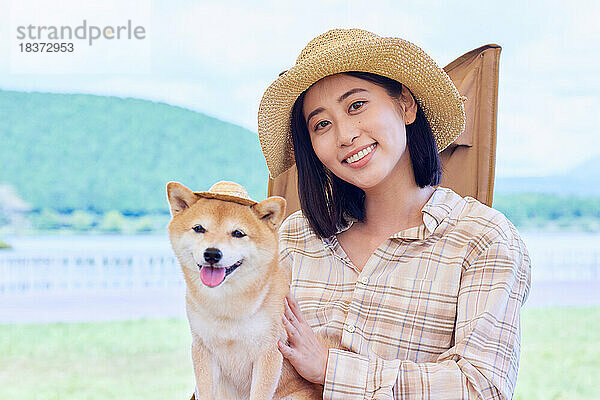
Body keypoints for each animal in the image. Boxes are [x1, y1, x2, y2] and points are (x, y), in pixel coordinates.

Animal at [166, 182, 324, 400]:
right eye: (199, 228)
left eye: (238, 233)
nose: (212, 253)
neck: (228, 306)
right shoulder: (203, 350)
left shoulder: (268, 352)